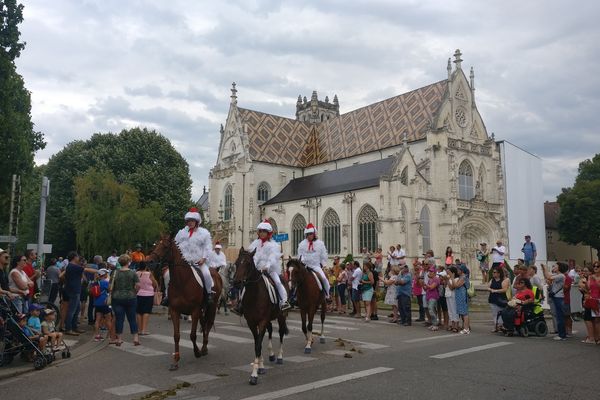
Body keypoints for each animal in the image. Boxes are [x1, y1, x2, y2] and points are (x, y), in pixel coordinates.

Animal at [146, 233, 224, 370]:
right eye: (156, 245)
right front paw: (175, 360)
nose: (150, 262)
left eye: (165, 247)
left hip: (212, 307)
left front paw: (197, 352)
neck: (182, 281)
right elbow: (176, 336)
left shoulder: (195, 311)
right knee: (204, 324)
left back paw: (204, 348)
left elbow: (192, 335)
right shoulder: (175, 311)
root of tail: (215, 271)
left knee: (208, 324)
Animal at [232, 248, 288, 386]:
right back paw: (272, 355)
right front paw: (261, 367)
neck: (254, 294)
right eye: (236, 263)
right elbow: (258, 343)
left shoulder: (262, 321)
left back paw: (279, 357)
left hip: (281, 316)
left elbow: (258, 345)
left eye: (248, 263)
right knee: (270, 331)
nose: (236, 283)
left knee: (281, 333)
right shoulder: (252, 323)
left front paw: (254, 375)